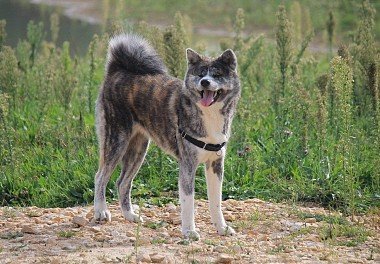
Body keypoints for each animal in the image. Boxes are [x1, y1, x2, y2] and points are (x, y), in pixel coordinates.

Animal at [93, 33, 240, 239]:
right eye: (200, 74)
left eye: (217, 75)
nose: (204, 82)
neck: (209, 115)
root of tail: (117, 71)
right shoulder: (187, 166)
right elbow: (188, 202)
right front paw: (189, 231)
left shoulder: (215, 165)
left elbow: (216, 202)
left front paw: (222, 228)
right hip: (116, 141)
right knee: (100, 177)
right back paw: (101, 211)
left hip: (138, 149)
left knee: (122, 183)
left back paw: (130, 215)